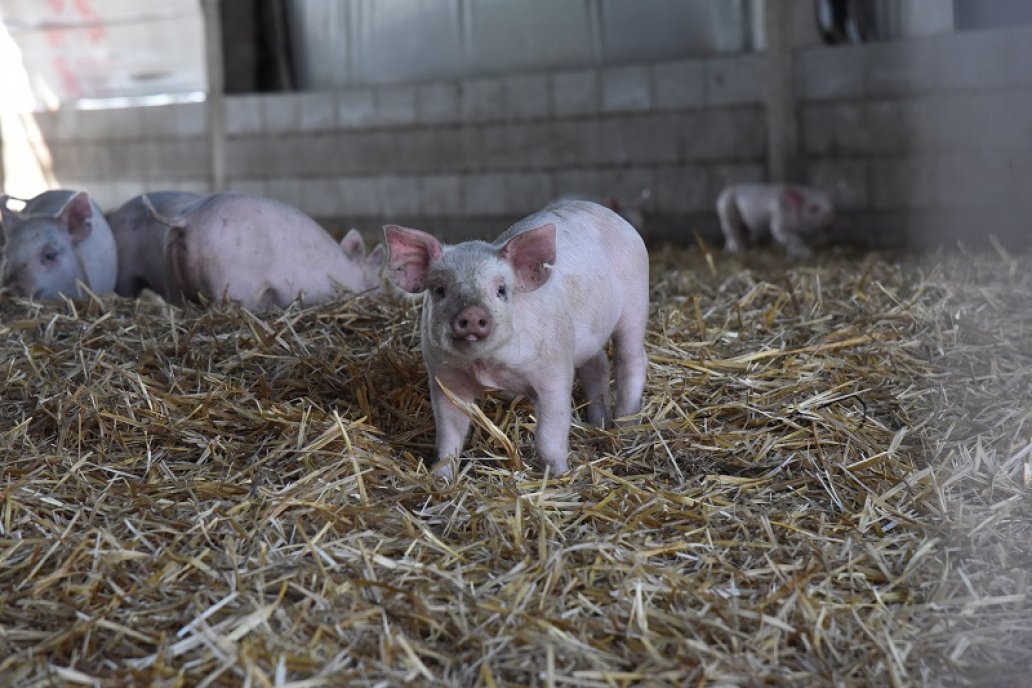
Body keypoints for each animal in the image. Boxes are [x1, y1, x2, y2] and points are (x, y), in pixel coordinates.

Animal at [383, 199, 648, 478]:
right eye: (439, 289)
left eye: (501, 289)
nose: (472, 313)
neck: (487, 366)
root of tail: (608, 214)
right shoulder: (445, 378)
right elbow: (449, 435)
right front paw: (441, 477)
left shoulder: (554, 373)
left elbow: (548, 437)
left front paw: (558, 475)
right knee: (598, 364)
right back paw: (598, 422)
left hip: (636, 303)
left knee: (631, 361)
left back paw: (625, 424)